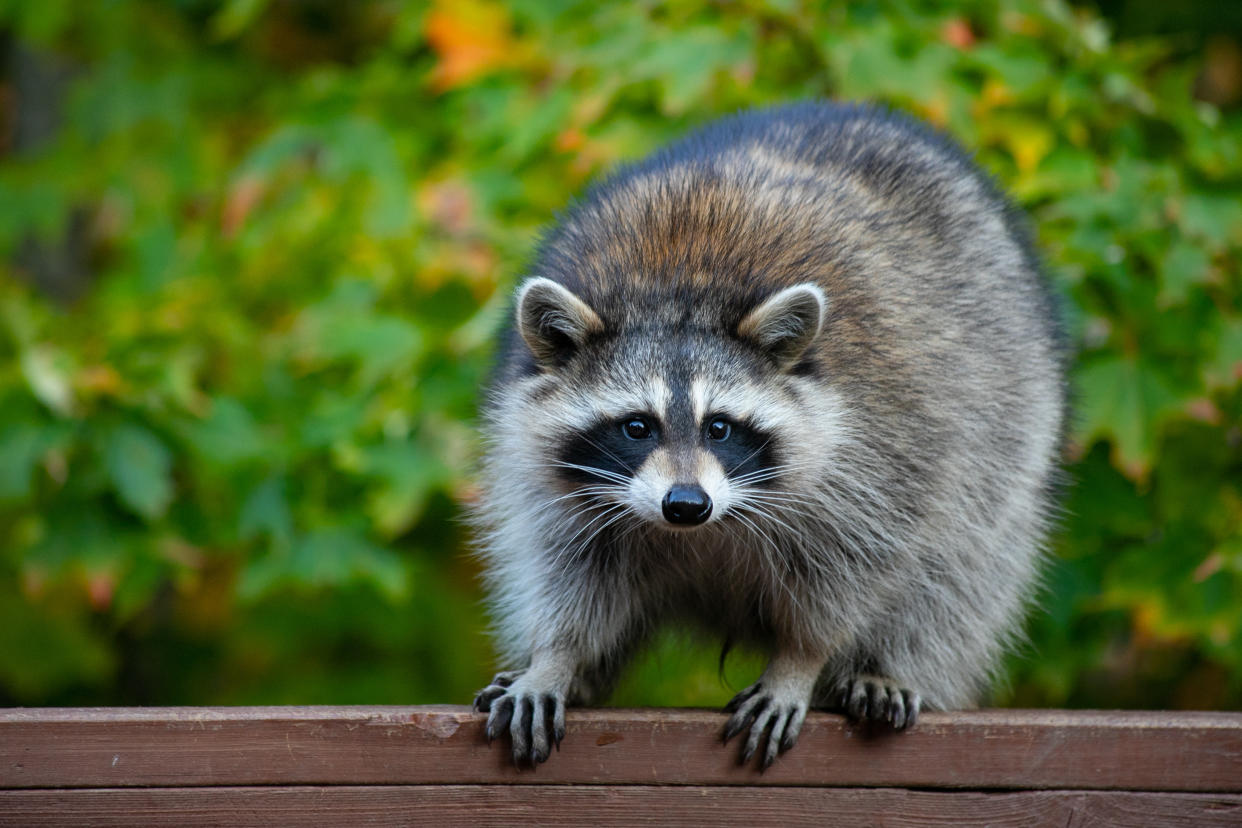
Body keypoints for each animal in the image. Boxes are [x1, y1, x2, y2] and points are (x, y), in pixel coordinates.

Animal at [469, 101, 1063, 769]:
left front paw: (800, 661)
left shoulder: (882, 448)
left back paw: (889, 665)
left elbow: (853, 571)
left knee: (960, 571)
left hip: (1005, 436)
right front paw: (557, 658)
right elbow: (568, 567)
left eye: (720, 427)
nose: (686, 504)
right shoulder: (554, 480)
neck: (678, 291)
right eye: (637, 426)